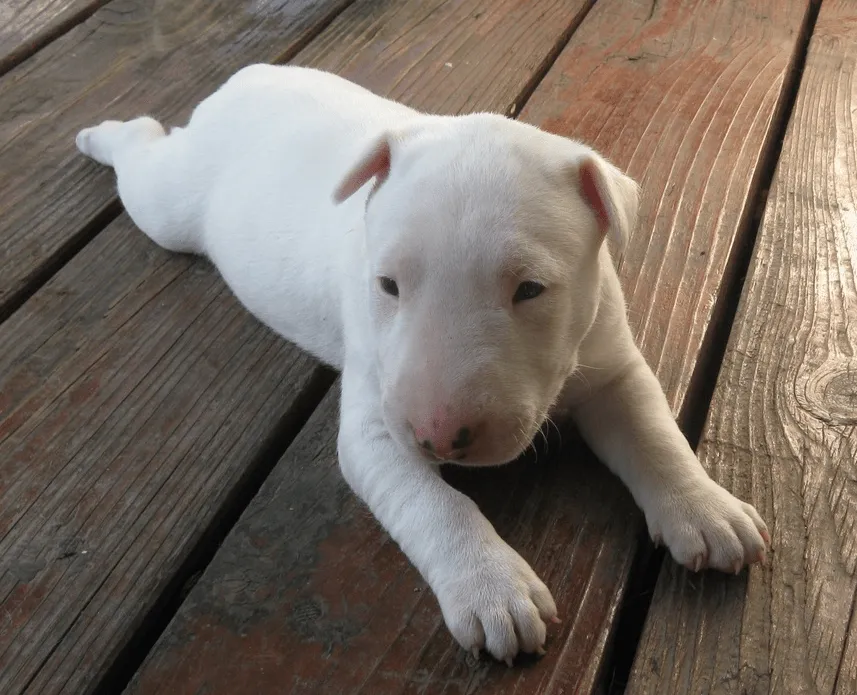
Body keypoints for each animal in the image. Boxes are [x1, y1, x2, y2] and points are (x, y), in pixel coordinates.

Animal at [75, 66, 768, 668]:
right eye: (387, 285)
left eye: (531, 290)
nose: (438, 437)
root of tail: (245, 79)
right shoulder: (375, 429)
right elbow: (435, 503)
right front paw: (492, 589)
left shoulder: (612, 366)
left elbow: (653, 434)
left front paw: (707, 510)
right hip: (169, 204)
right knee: (143, 155)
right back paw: (98, 134)